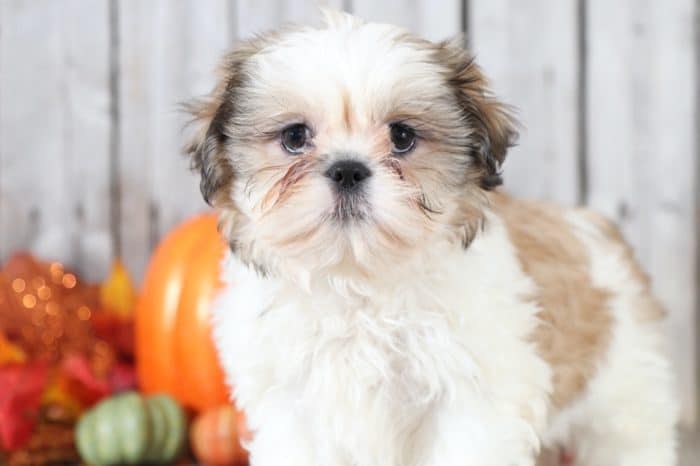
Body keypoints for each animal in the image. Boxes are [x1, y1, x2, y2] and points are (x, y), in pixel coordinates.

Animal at [185, 10, 680, 466]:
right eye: (294, 137)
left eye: (402, 136)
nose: (347, 169)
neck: (356, 280)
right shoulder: (289, 404)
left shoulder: (472, 399)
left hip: (625, 394)